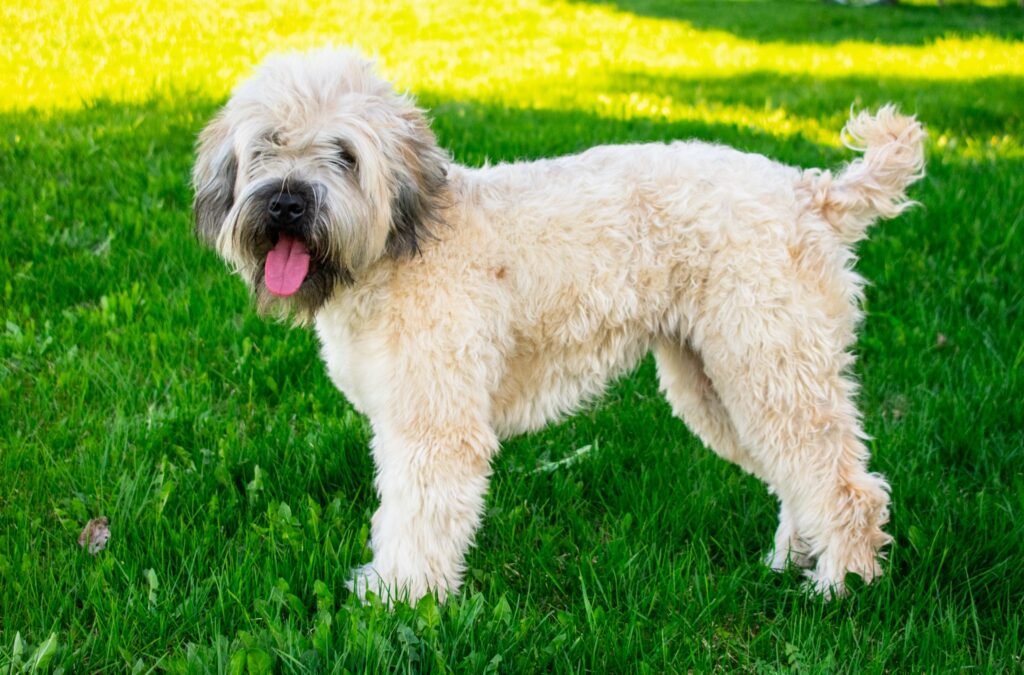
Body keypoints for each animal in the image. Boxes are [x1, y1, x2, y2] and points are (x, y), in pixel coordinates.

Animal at [193, 50, 929, 606]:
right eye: (266, 148)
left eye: (344, 154)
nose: (287, 202)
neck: (398, 247)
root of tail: (811, 193)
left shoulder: (435, 425)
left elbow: (416, 516)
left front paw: (399, 597)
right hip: (721, 382)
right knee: (802, 478)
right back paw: (794, 559)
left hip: (770, 364)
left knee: (849, 487)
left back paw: (840, 586)